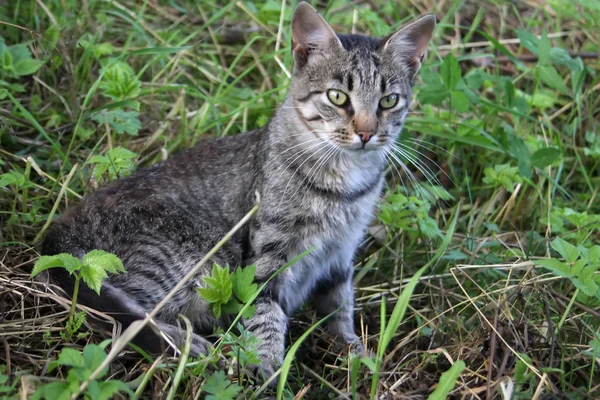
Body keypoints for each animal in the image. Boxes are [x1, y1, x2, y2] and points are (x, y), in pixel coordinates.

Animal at [41, 0, 436, 380]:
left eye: (388, 101)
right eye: (338, 97)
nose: (367, 133)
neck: (345, 182)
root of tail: (56, 233)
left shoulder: (340, 254)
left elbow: (339, 310)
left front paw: (355, 352)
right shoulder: (267, 257)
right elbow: (265, 311)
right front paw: (266, 363)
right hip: (192, 254)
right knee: (119, 316)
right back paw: (189, 345)